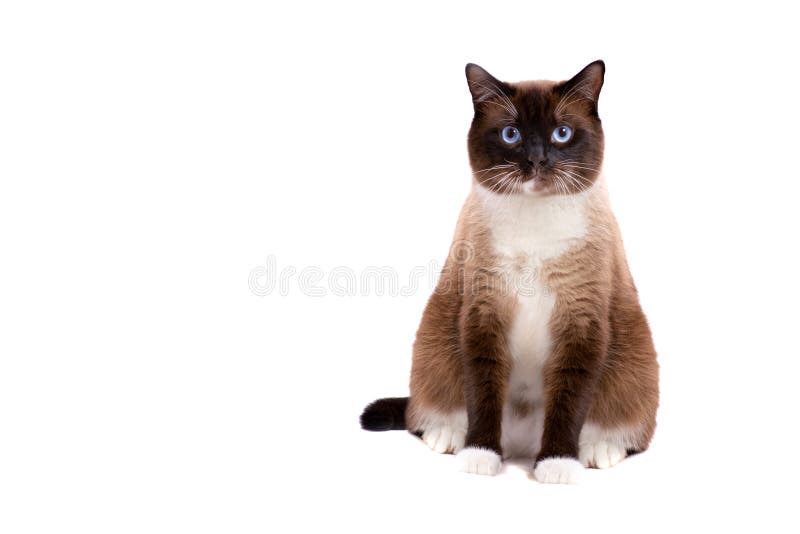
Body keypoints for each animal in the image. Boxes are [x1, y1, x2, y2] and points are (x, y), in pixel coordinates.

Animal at [360, 61, 660, 486]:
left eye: (561, 134)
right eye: (511, 135)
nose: (536, 160)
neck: (534, 226)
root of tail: (522, 446)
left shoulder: (580, 324)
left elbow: (569, 404)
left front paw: (557, 465)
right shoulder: (485, 315)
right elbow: (483, 395)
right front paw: (481, 456)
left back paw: (598, 450)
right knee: (432, 410)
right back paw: (448, 435)